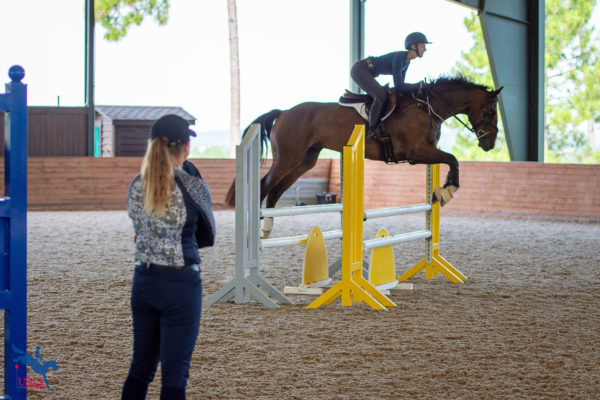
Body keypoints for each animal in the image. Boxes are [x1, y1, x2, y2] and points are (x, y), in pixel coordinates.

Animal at [227, 76, 504, 236]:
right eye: (490, 111)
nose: (489, 143)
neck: (428, 106)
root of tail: (284, 112)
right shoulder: (416, 151)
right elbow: (453, 159)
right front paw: (449, 189)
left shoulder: (424, 152)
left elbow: (450, 160)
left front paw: (442, 190)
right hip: (288, 159)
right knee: (265, 185)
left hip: (304, 161)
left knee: (275, 190)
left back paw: (267, 228)